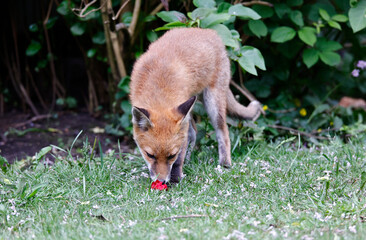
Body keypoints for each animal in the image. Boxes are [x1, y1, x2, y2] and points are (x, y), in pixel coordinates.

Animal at [130, 28, 262, 183]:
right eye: (150, 155)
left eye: (171, 155)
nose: (162, 181)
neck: (158, 90)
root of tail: (208, 31)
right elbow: (187, 139)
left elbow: (179, 157)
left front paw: (175, 178)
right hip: (191, 106)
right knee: (193, 133)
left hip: (212, 102)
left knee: (223, 131)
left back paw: (225, 163)